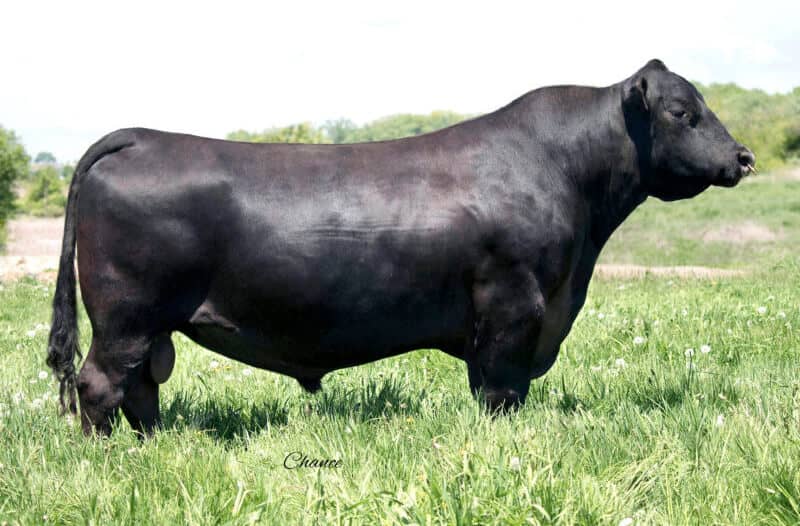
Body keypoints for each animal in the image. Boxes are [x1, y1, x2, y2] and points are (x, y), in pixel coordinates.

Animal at [46, 59, 755, 436]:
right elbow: (501, 389)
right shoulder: (514, 305)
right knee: (99, 383)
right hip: (126, 315)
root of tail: (141, 136)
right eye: (683, 113)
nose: (743, 157)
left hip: (145, 325)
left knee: (140, 385)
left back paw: (152, 443)